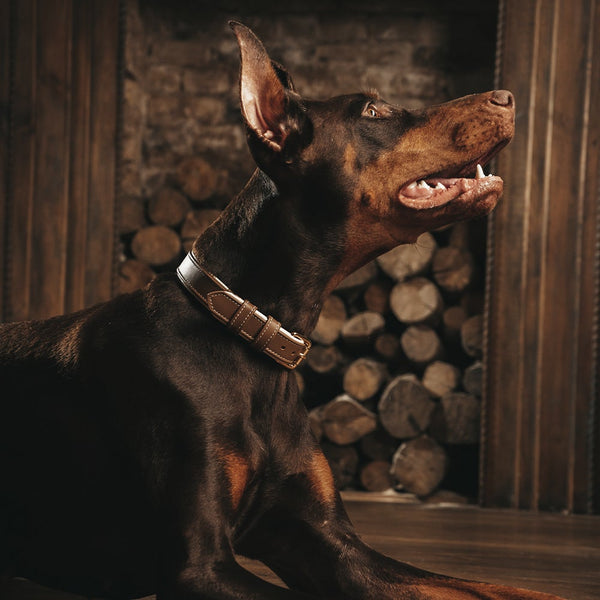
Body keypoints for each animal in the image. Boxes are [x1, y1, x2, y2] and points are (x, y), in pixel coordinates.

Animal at [0, 21, 564, 600]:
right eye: (373, 111)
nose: (508, 97)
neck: (252, 336)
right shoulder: (198, 567)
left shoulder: (333, 545)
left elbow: (484, 587)